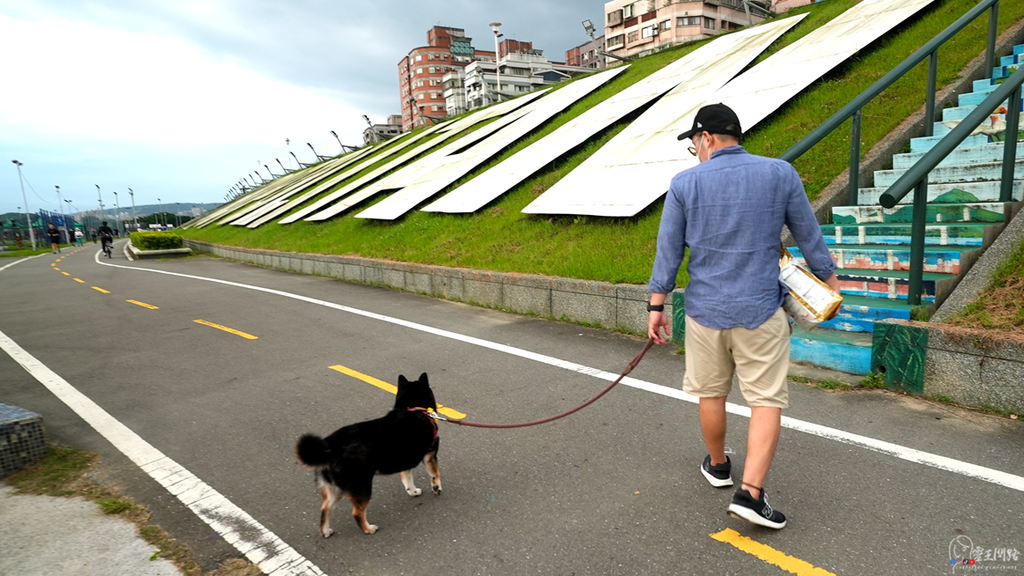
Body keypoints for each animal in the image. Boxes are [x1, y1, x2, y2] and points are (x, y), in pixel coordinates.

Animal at [294, 373, 442, 532]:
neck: (413, 408)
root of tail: (331, 446)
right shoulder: (430, 454)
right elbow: (435, 475)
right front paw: (437, 488)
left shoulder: (405, 460)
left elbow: (408, 480)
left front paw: (413, 492)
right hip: (361, 486)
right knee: (357, 513)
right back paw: (368, 529)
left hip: (334, 489)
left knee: (325, 509)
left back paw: (326, 531)